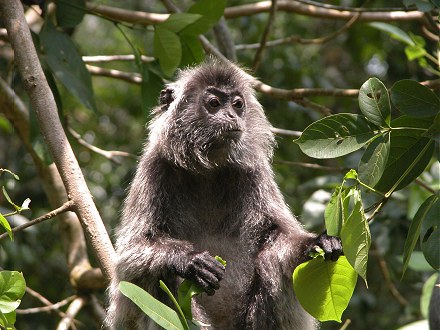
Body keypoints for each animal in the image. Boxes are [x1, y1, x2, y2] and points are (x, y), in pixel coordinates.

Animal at [105, 60, 342, 330]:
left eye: (237, 105)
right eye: (214, 103)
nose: (231, 115)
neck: (208, 170)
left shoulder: (254, 172)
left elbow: (278, 234)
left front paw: (316, 242)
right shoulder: (154, 168)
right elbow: (130, 256)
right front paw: (190, 260)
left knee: (269, 258)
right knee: (161, 274)